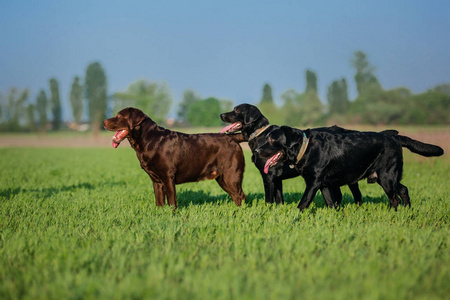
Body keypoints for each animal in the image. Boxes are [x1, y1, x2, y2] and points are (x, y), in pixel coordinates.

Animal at [103, 107, 246, 209]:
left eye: (120, 116)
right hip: (222, 178)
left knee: (240, 195)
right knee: (237, 196)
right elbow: (159, 202)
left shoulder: (167, 176)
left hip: (231, 175)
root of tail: (232, 138)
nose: (104, 122)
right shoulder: (156, 181)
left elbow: (172, 201)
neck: (148, 140)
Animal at [219, 104, 370, 207]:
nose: (221, 114)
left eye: (236, 110)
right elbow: (279, 199)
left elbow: (268, 200)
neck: (260, 134)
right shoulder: (277, 178)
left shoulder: (268, 176)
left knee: (356, 194)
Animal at [256, 125, 442, 210]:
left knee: (394, 198)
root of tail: (395, 138)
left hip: (387, 177)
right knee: (403, 189)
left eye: (272, 139)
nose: (257, 150)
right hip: (388, 177)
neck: (306, 147)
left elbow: (303, 204)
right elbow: (331, 203)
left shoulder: (313, 183)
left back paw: (393, 213)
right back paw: (407, 210)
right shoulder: (324, 185)